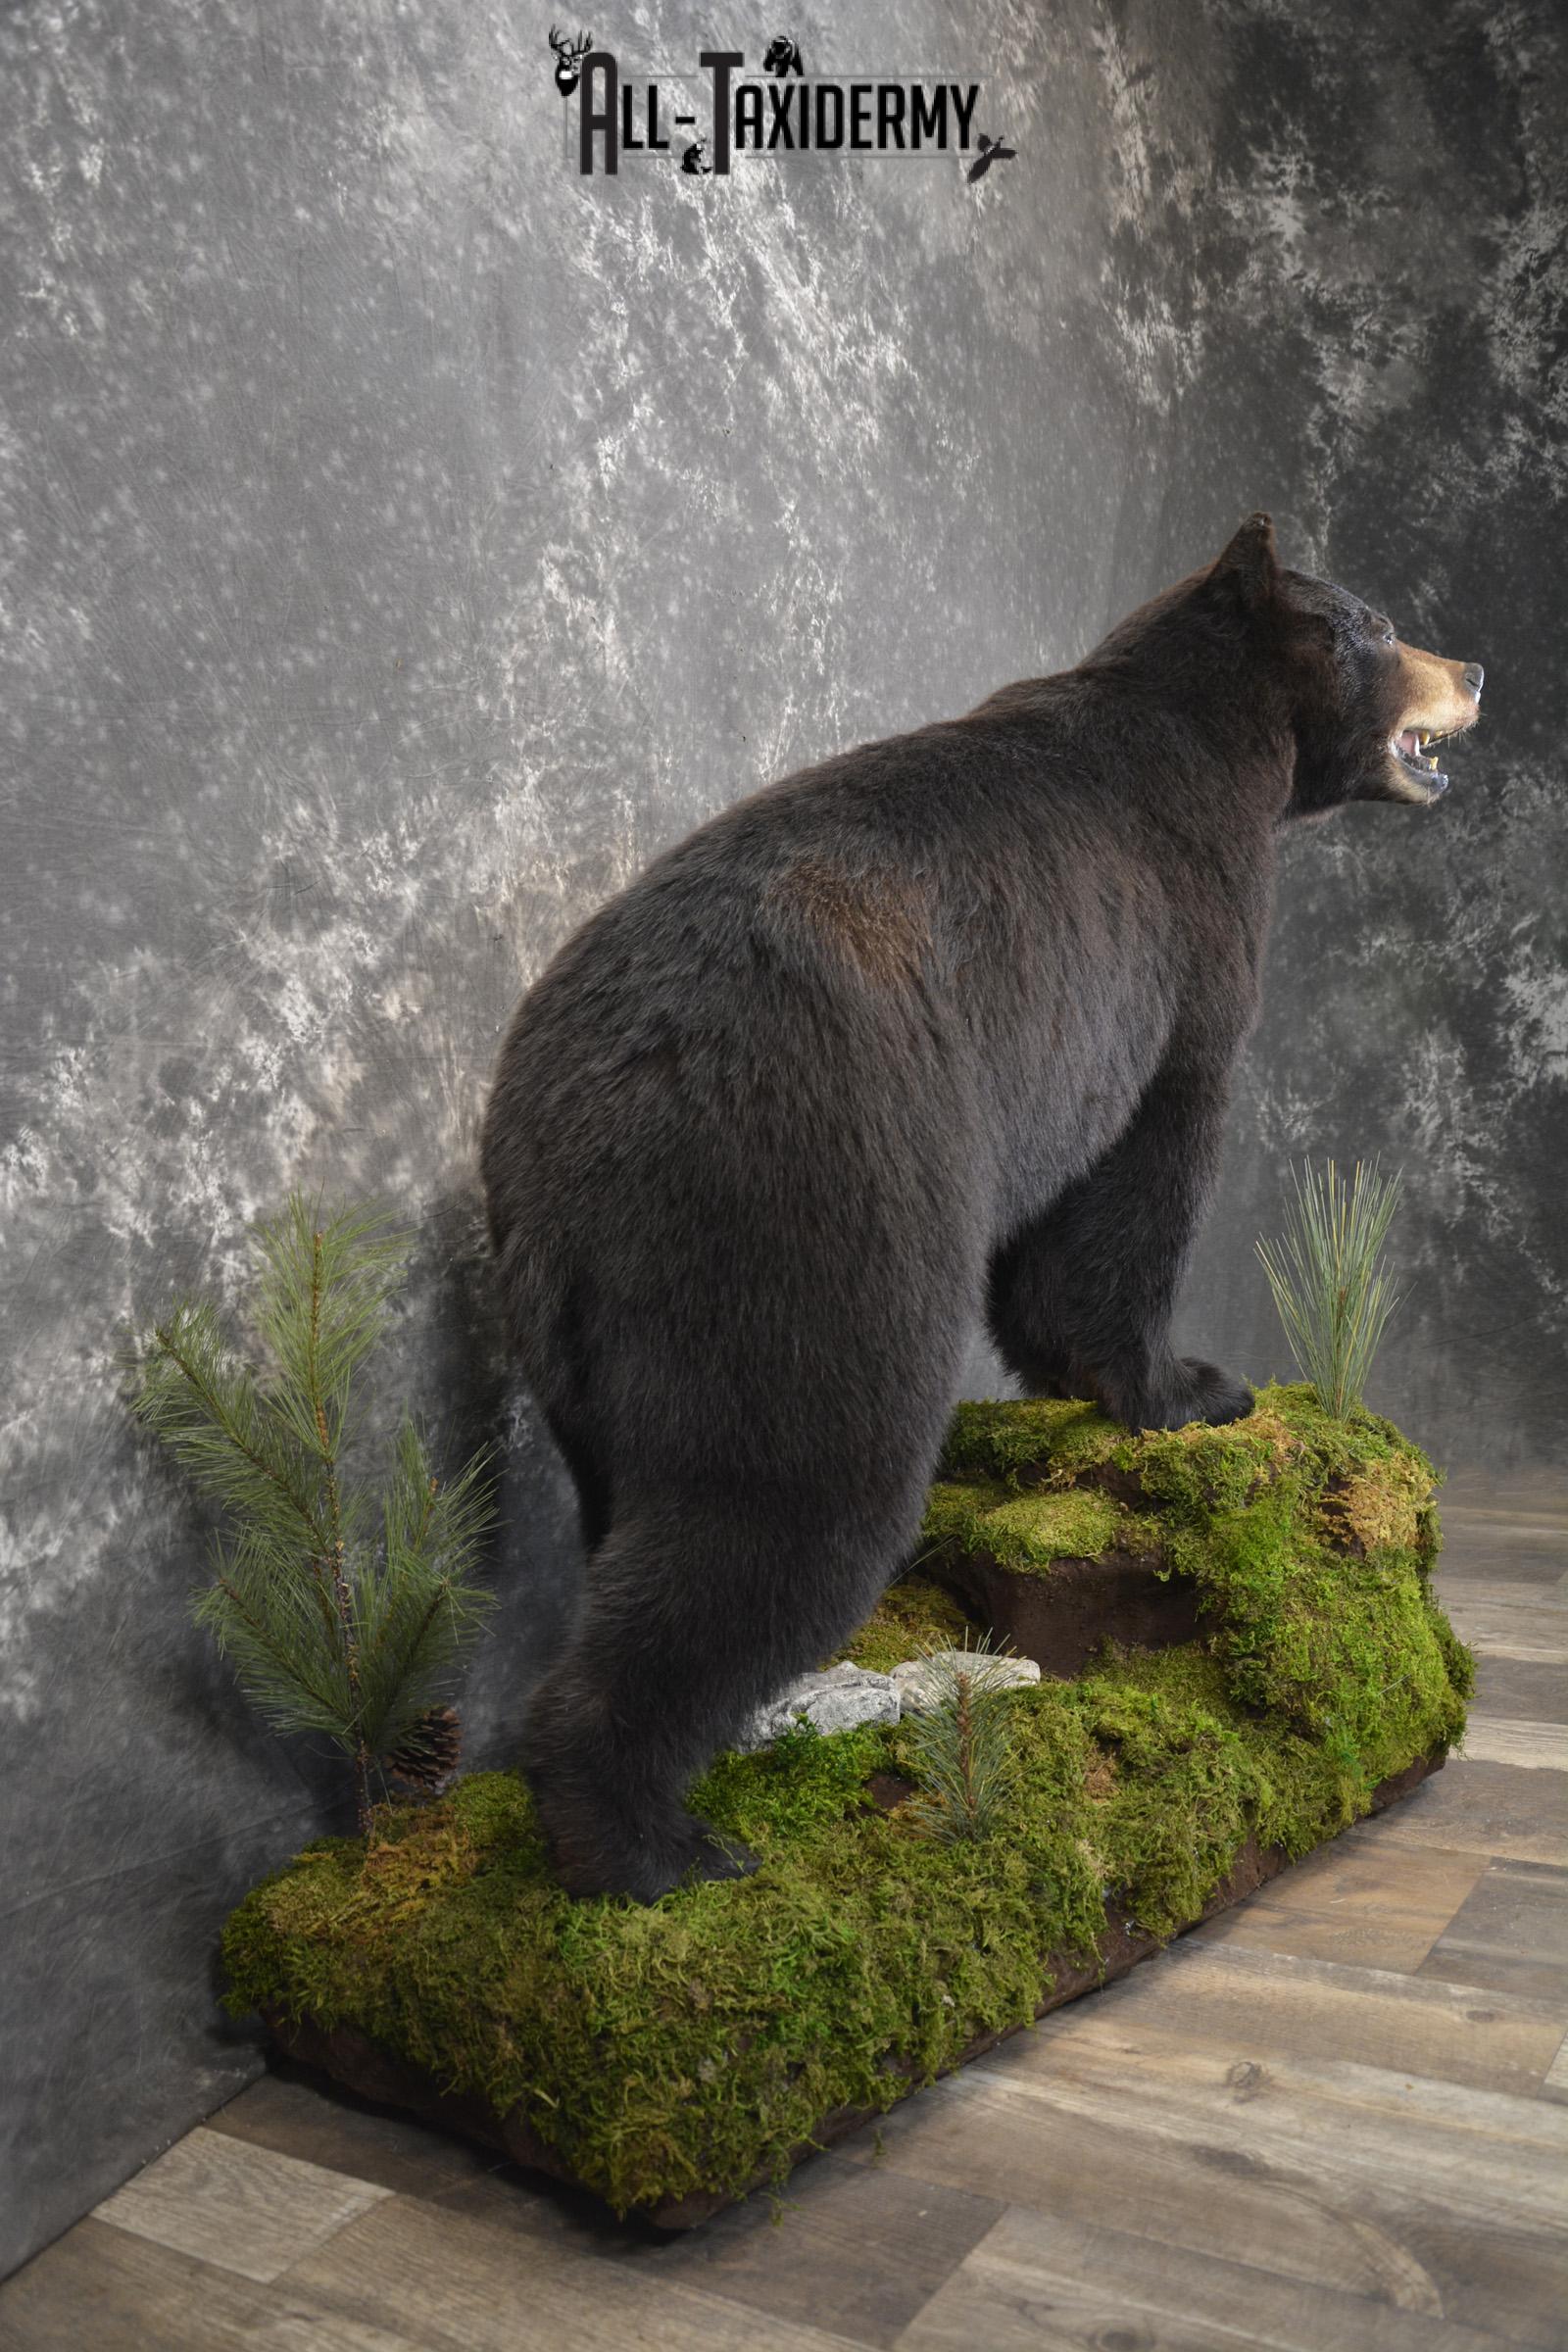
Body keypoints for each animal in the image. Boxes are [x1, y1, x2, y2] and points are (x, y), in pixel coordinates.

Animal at [480, 513, 1482, 1903]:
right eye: (1379, 626)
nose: (1475, 669)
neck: (1224, 747)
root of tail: (577, 1123)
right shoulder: (1170, 942)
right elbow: (1141, 1172)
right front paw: (1183, 1386)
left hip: (570, 1328)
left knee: (620, 1512)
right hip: (800, 1211)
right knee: (783, 1496)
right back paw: (650, 1843)